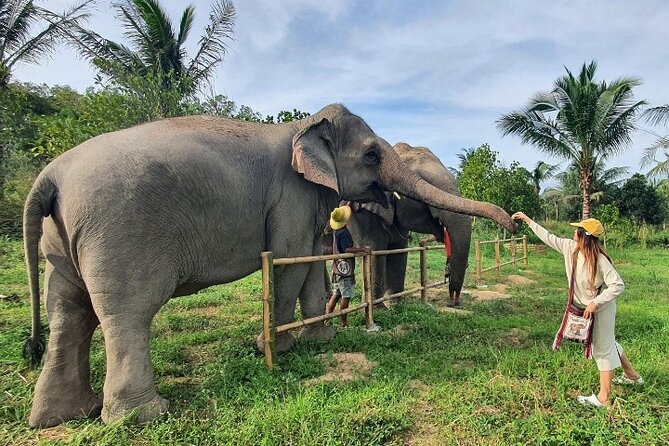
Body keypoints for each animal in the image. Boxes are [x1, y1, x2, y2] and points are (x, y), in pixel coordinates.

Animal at [346, 143, 471, 307]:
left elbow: (399, 251)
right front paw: (380, 309)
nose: (453, 301)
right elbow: (373, 250)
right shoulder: (363, 212)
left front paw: (396, 303)